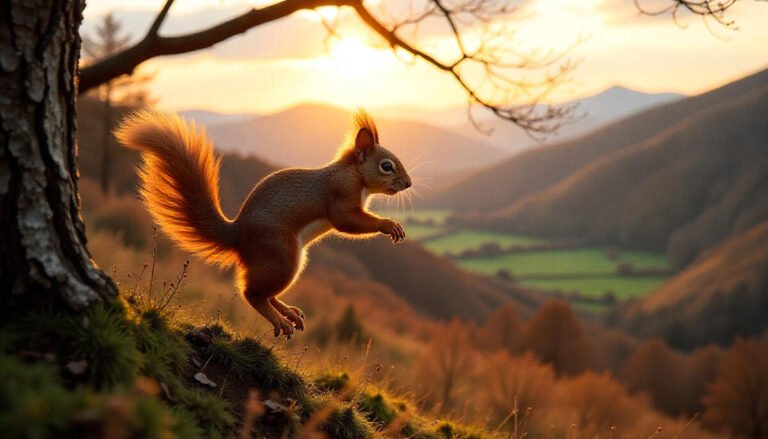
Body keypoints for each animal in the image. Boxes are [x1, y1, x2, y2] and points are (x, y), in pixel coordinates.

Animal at [115, 109, 411, 337]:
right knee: (252, 293)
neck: (356, 176)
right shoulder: (341, 193)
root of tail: (237, 234)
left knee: (265, 292)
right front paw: (388, 225)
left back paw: (288, 312)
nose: (408, 183)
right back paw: (279, 319)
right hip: (282, 256)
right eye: (386, 166)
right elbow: (347, 221)